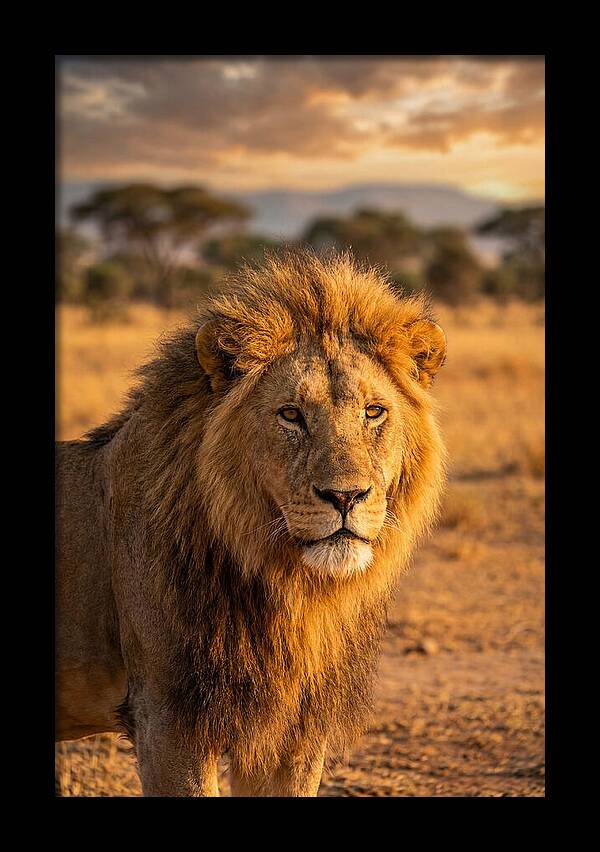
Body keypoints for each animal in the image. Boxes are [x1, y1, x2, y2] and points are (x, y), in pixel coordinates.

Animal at [55, 250, 447, 797]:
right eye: (291, 414)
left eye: (374, 412)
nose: (345, 496)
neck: (290, 590)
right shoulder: (167, 720)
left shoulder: (294, 731)